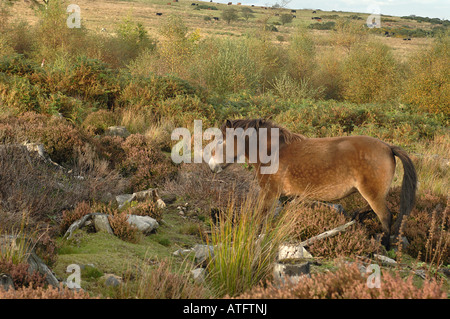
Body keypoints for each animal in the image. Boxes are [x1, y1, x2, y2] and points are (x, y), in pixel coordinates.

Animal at [208, 119, 418, 249]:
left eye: (219, 142)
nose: (211, 167)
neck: (273, 151)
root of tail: (388, 147)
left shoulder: (269, 192)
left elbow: (261, 215)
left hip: (372, 193)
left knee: (386, 215)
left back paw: (383, 247)